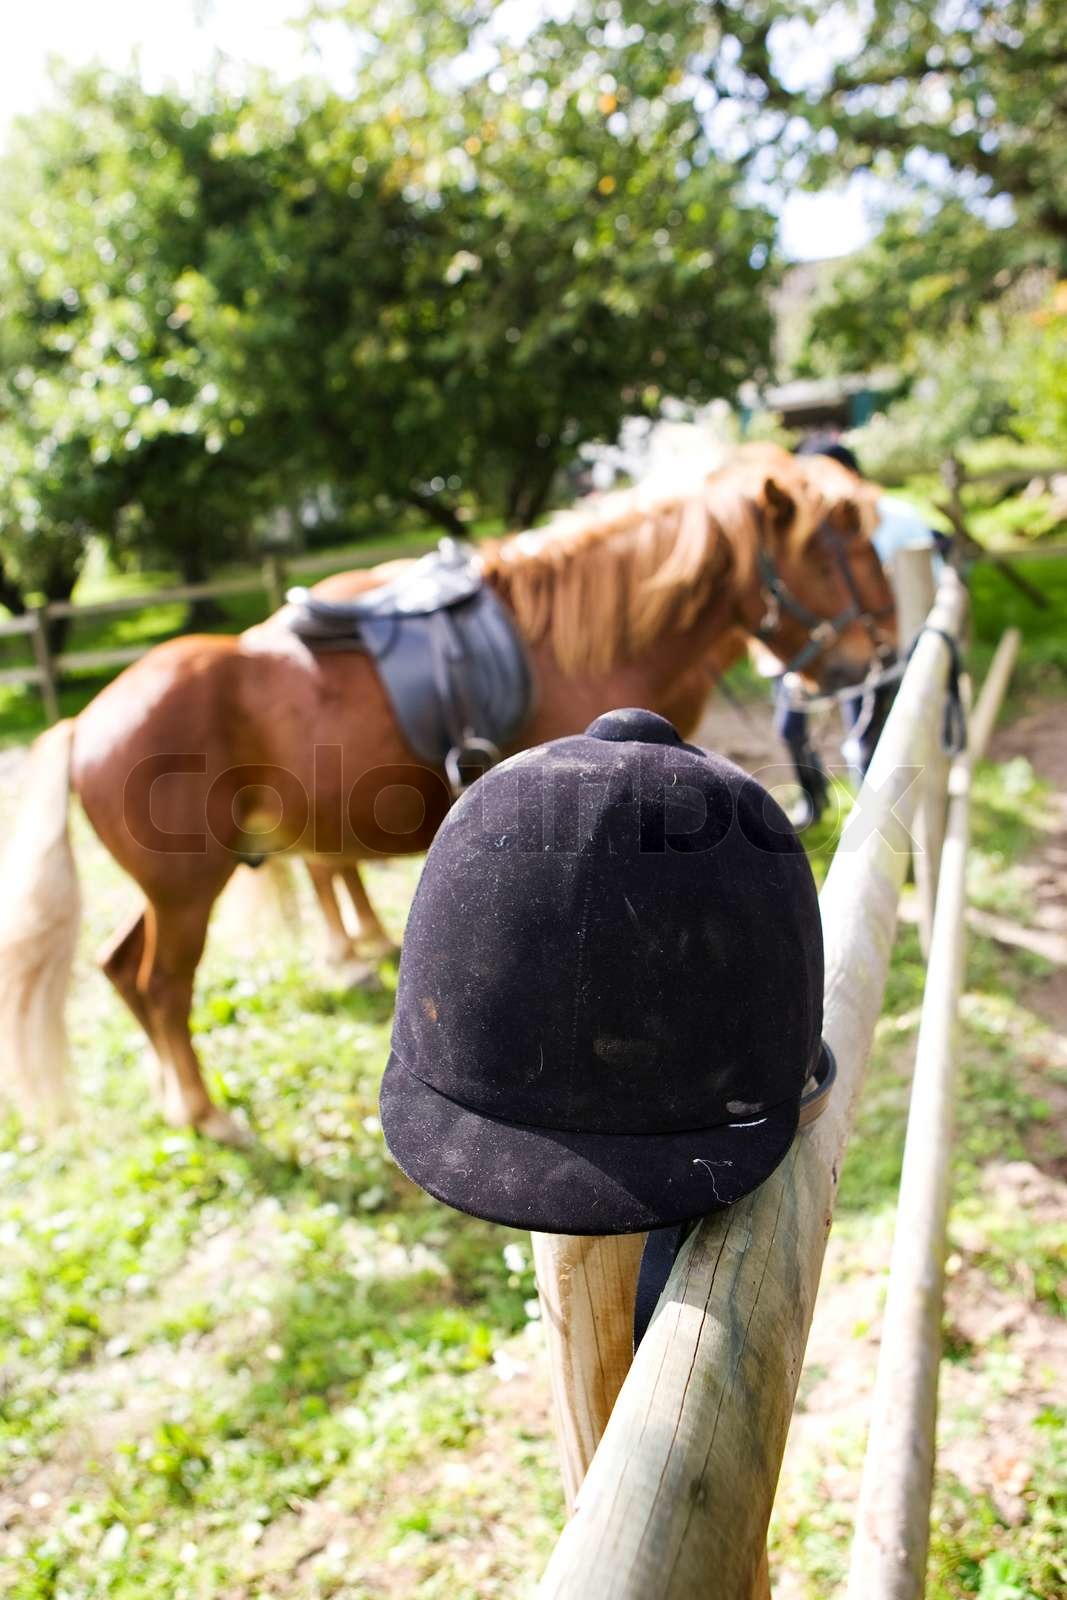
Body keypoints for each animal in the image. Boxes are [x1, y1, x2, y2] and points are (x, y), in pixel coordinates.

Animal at [0, 444, 895, 1145]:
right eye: (831, 552)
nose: (874, 655)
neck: (580, 646)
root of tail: (85, 717)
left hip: (173, 886)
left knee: (122, 970)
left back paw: (177, 1096)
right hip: (189, 889)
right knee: (161, 984)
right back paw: (206, 1112)